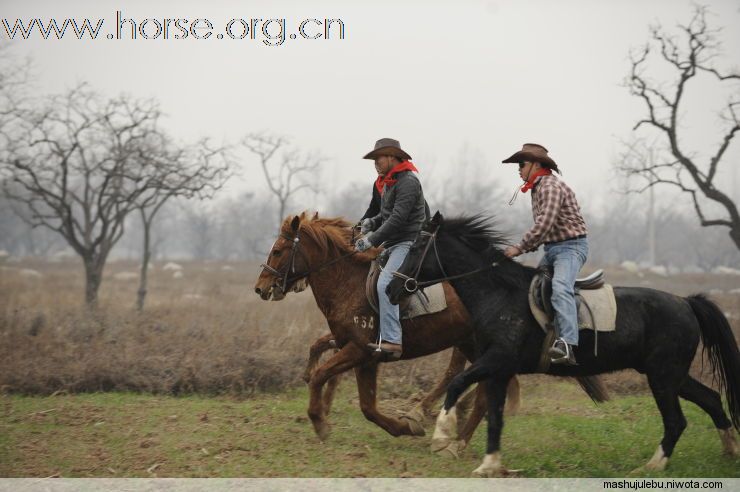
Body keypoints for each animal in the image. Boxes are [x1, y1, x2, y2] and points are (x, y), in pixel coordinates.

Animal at [388, 212, 740, 476]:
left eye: (417, 246)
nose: (392, 288)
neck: (500, 294)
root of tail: (686, 302)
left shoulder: (495, 360)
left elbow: (457, 384)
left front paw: (441, 437)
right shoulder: (498, 369)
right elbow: (495, 416)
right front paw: (489, 465)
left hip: (663, 377)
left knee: (677, 421)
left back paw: (651, 466)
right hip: (671, 375)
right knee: (711, 399)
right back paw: (730, 451)